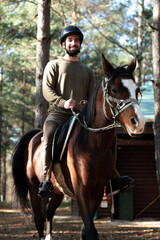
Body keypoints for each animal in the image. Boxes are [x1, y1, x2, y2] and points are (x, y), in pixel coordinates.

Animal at [11, 54, 146, 240]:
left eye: (137, 90)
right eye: (114, 89)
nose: (138, 123)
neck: (93, 144)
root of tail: (35, 136)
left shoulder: (97, 191)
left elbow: (85, 230)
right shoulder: (81, 189)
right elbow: (89, 230)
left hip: (58, 192)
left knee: (49, 213)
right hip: (33, 188)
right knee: (39, 218)